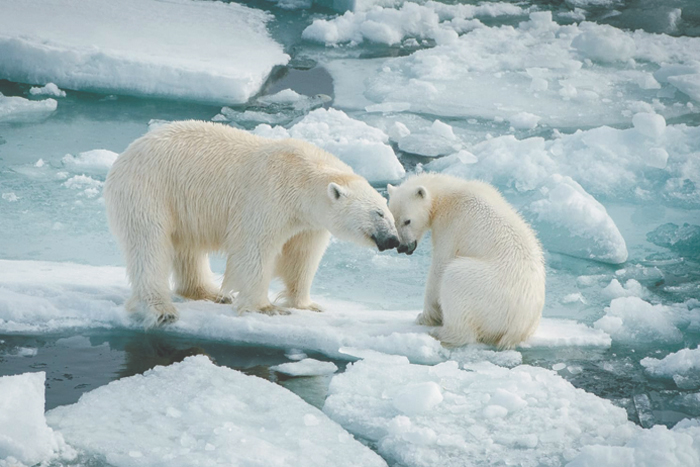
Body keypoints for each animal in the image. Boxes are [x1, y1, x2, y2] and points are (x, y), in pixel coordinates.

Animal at [105, 120, 400, 326]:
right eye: (378, 213)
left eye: (390, 214)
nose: (394, 240)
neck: (301, 177)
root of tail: (124, 155)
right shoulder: (269, 196)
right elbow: (254, 248)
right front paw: (267, 308)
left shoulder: (308, 223)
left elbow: (301, 256)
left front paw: (307, 304)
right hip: (149, 192)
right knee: (150, 246)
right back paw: (161, 309)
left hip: (181, 205)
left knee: (188, 247)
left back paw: (210, 293)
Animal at [388, 174, 548, 350]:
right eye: (393, 221)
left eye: (407, 221)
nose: (402, 247)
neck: (446, 194)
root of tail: (518, 329)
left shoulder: (451, 225)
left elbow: (439, 267)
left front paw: (423, 317)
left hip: (487, 290)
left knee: (454, 278)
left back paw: (441, 332)